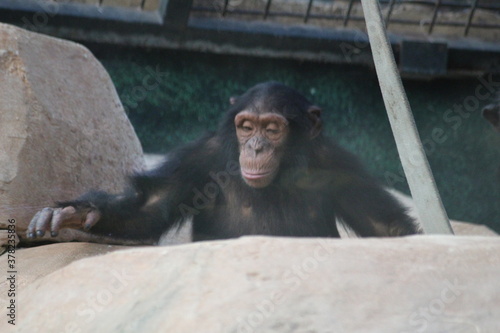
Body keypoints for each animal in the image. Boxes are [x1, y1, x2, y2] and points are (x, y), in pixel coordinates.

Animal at [26, 81, 418, 241]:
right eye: (246, 127)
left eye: (272, 129)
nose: (256, 147)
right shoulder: (200, 159)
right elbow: (148, 209)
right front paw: (74, 212)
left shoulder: (341, 167)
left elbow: (385, 226)